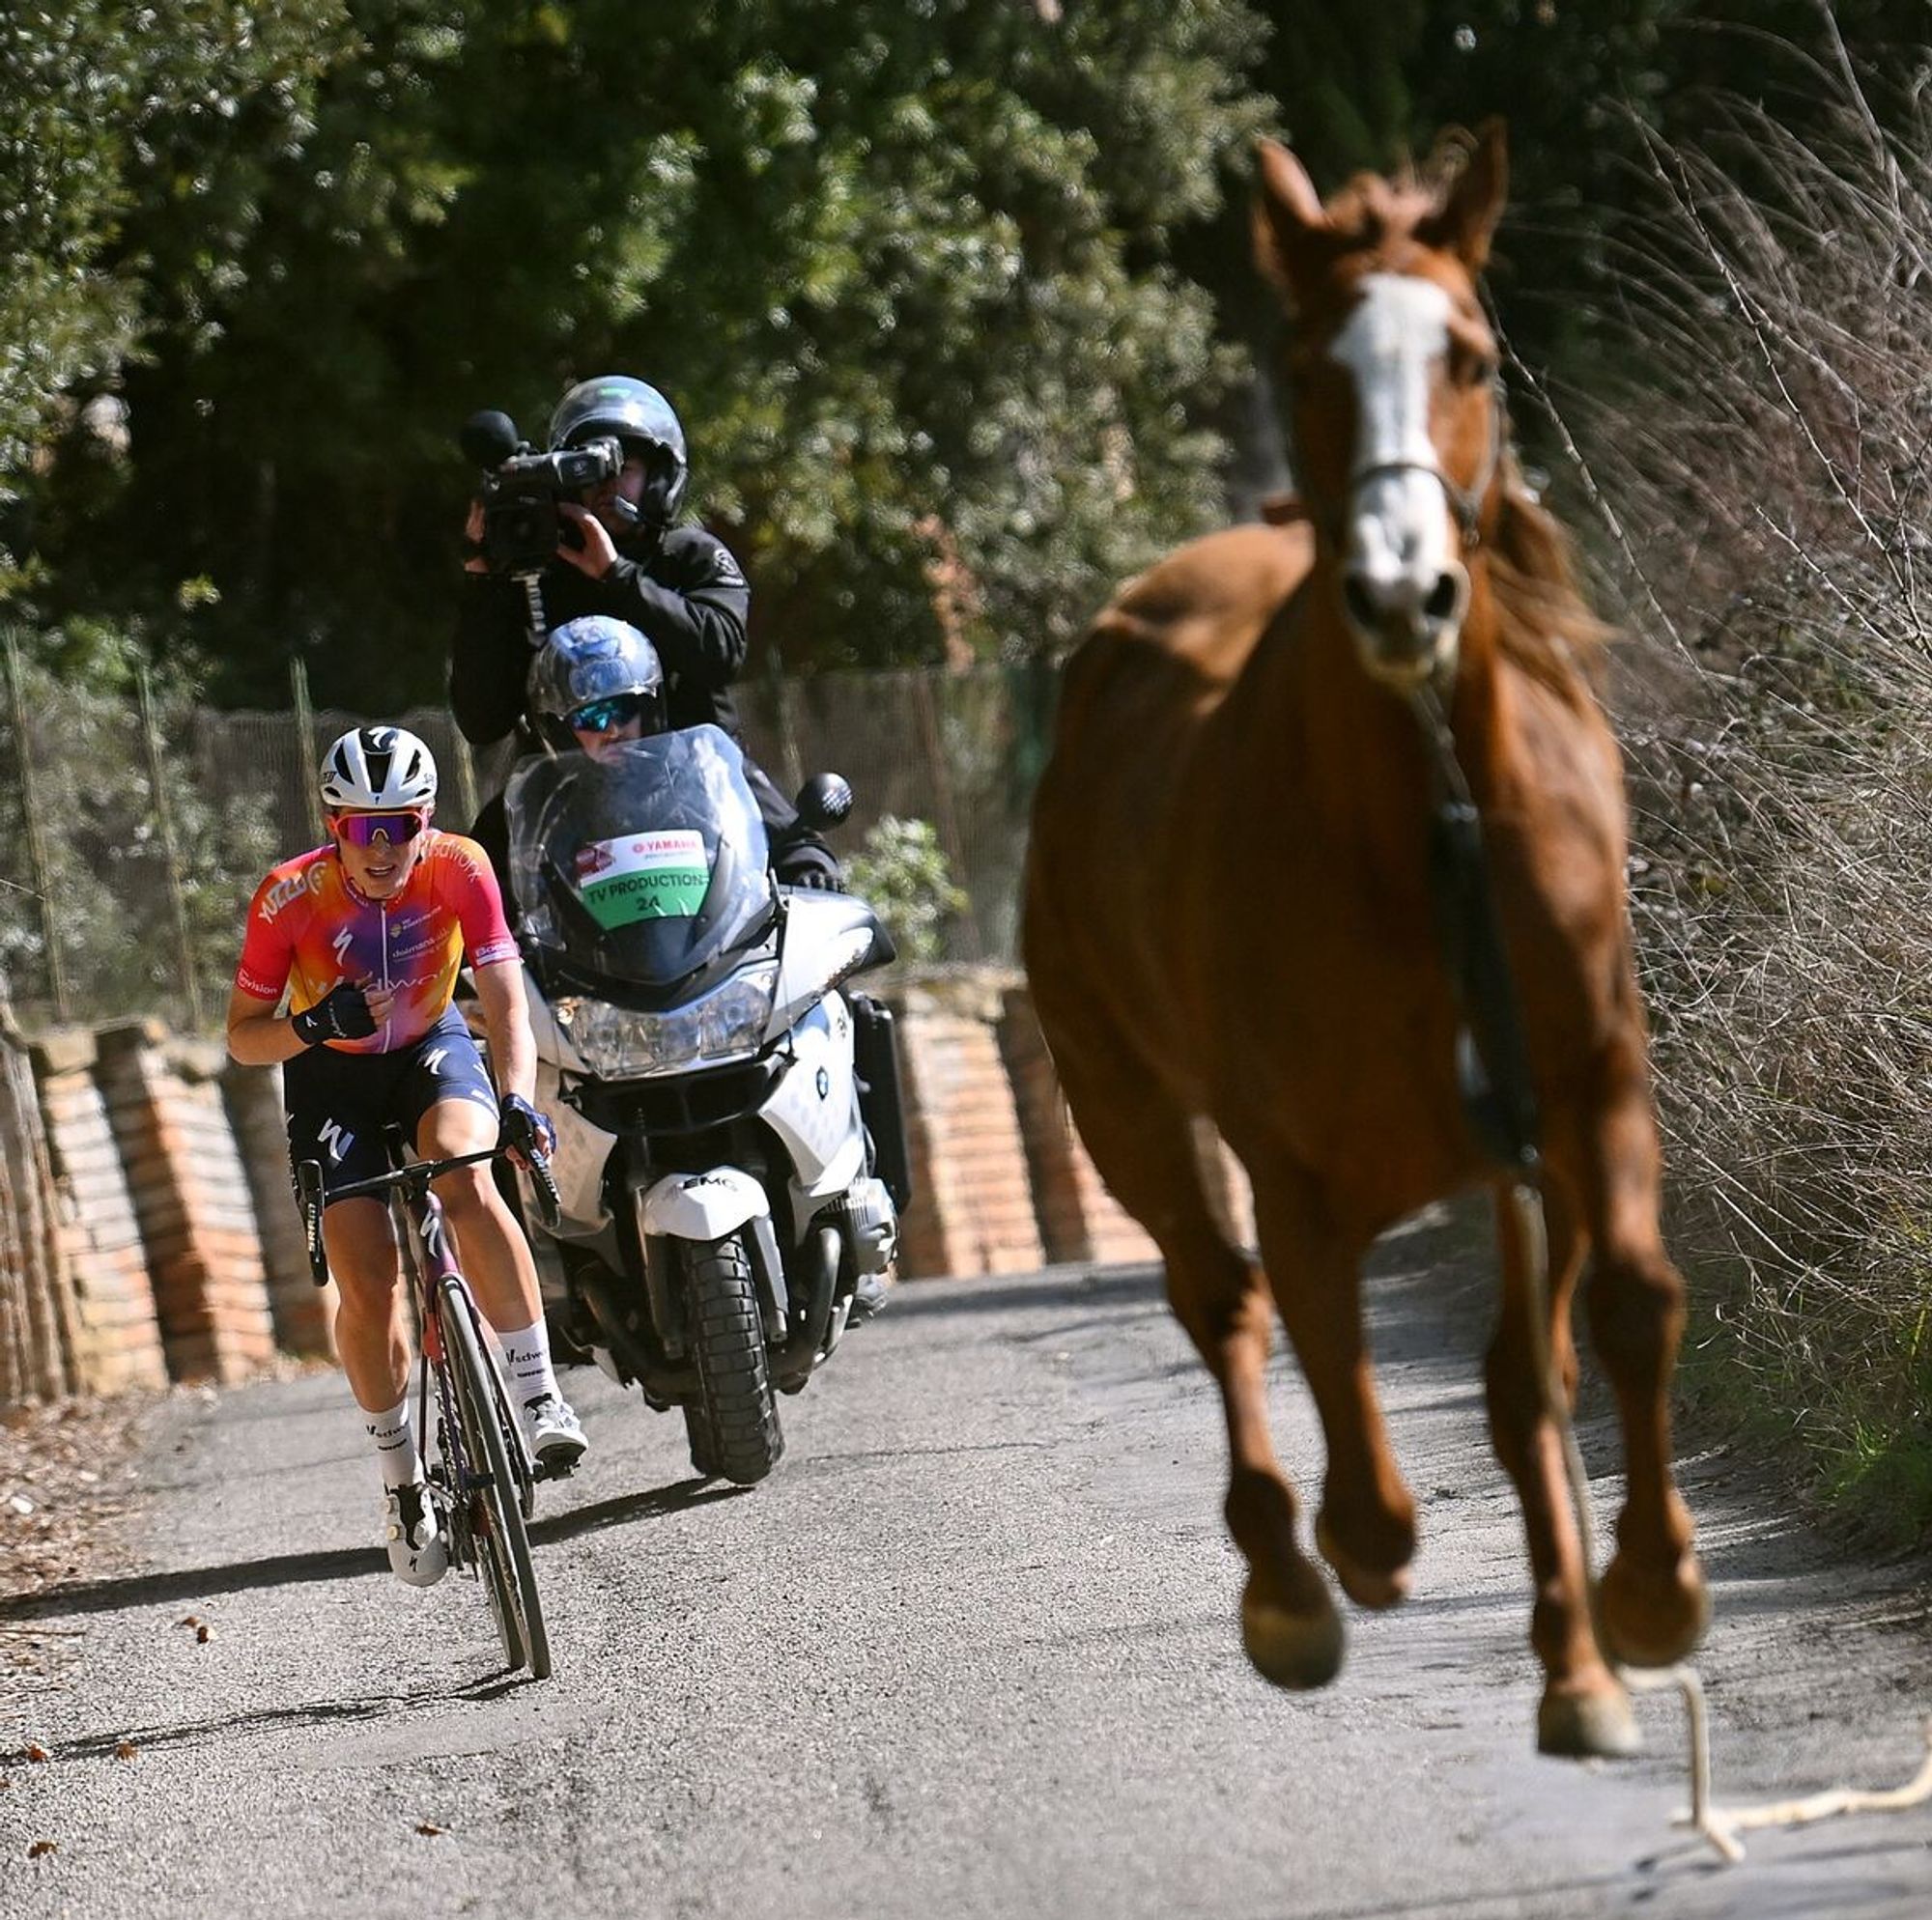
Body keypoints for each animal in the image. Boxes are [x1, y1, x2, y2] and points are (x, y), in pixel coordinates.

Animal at [1028, 127, 1708, 1762]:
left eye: (1468, 353)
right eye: (1307, 363)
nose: (1406, 592)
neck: (1422, 823)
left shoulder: (1581, 1098)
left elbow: (1604, 1326)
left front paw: (1640, 1610)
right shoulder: (1300, 1171)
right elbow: (1341, 1391)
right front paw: (1357, 1559)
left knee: (1514, 1378)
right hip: (1126, 1108)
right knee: (1220, 1303)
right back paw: (1291, 1585)